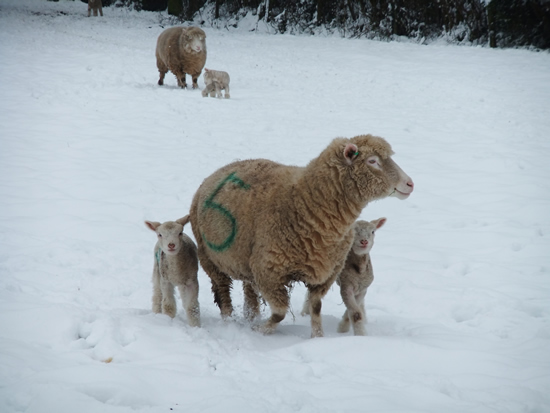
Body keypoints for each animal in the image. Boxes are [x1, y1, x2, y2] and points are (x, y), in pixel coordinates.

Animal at [190, 134, 414, 336]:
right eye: (372, 161)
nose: (410, 184)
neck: (303, 202)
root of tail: (221, 170)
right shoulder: (268, 271)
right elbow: (280, 312)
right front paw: (260, 330)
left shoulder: (325, 274)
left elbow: (315, 308)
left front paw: (317, 337)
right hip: (210, 258)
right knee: (223, 292)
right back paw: (230, 322)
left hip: (245, 261)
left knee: (249, 292)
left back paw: (250, 316)